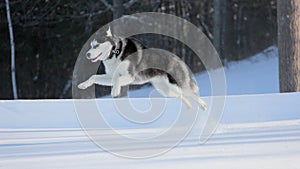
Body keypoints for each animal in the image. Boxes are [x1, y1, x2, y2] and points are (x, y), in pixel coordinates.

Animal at [78, 27, 207, 110]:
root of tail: (178, 58)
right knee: (182, 97)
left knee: (193, 95)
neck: (116, 52)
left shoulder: (130, 76)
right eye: (91, 46)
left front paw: (115, 91)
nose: (87, 54)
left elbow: (118, 81)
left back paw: (203, 106)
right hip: (166, 90)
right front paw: (83, 85)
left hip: (178, 85)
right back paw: (189, 109)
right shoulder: (111, 77)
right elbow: (94, 76)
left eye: (96, 45)